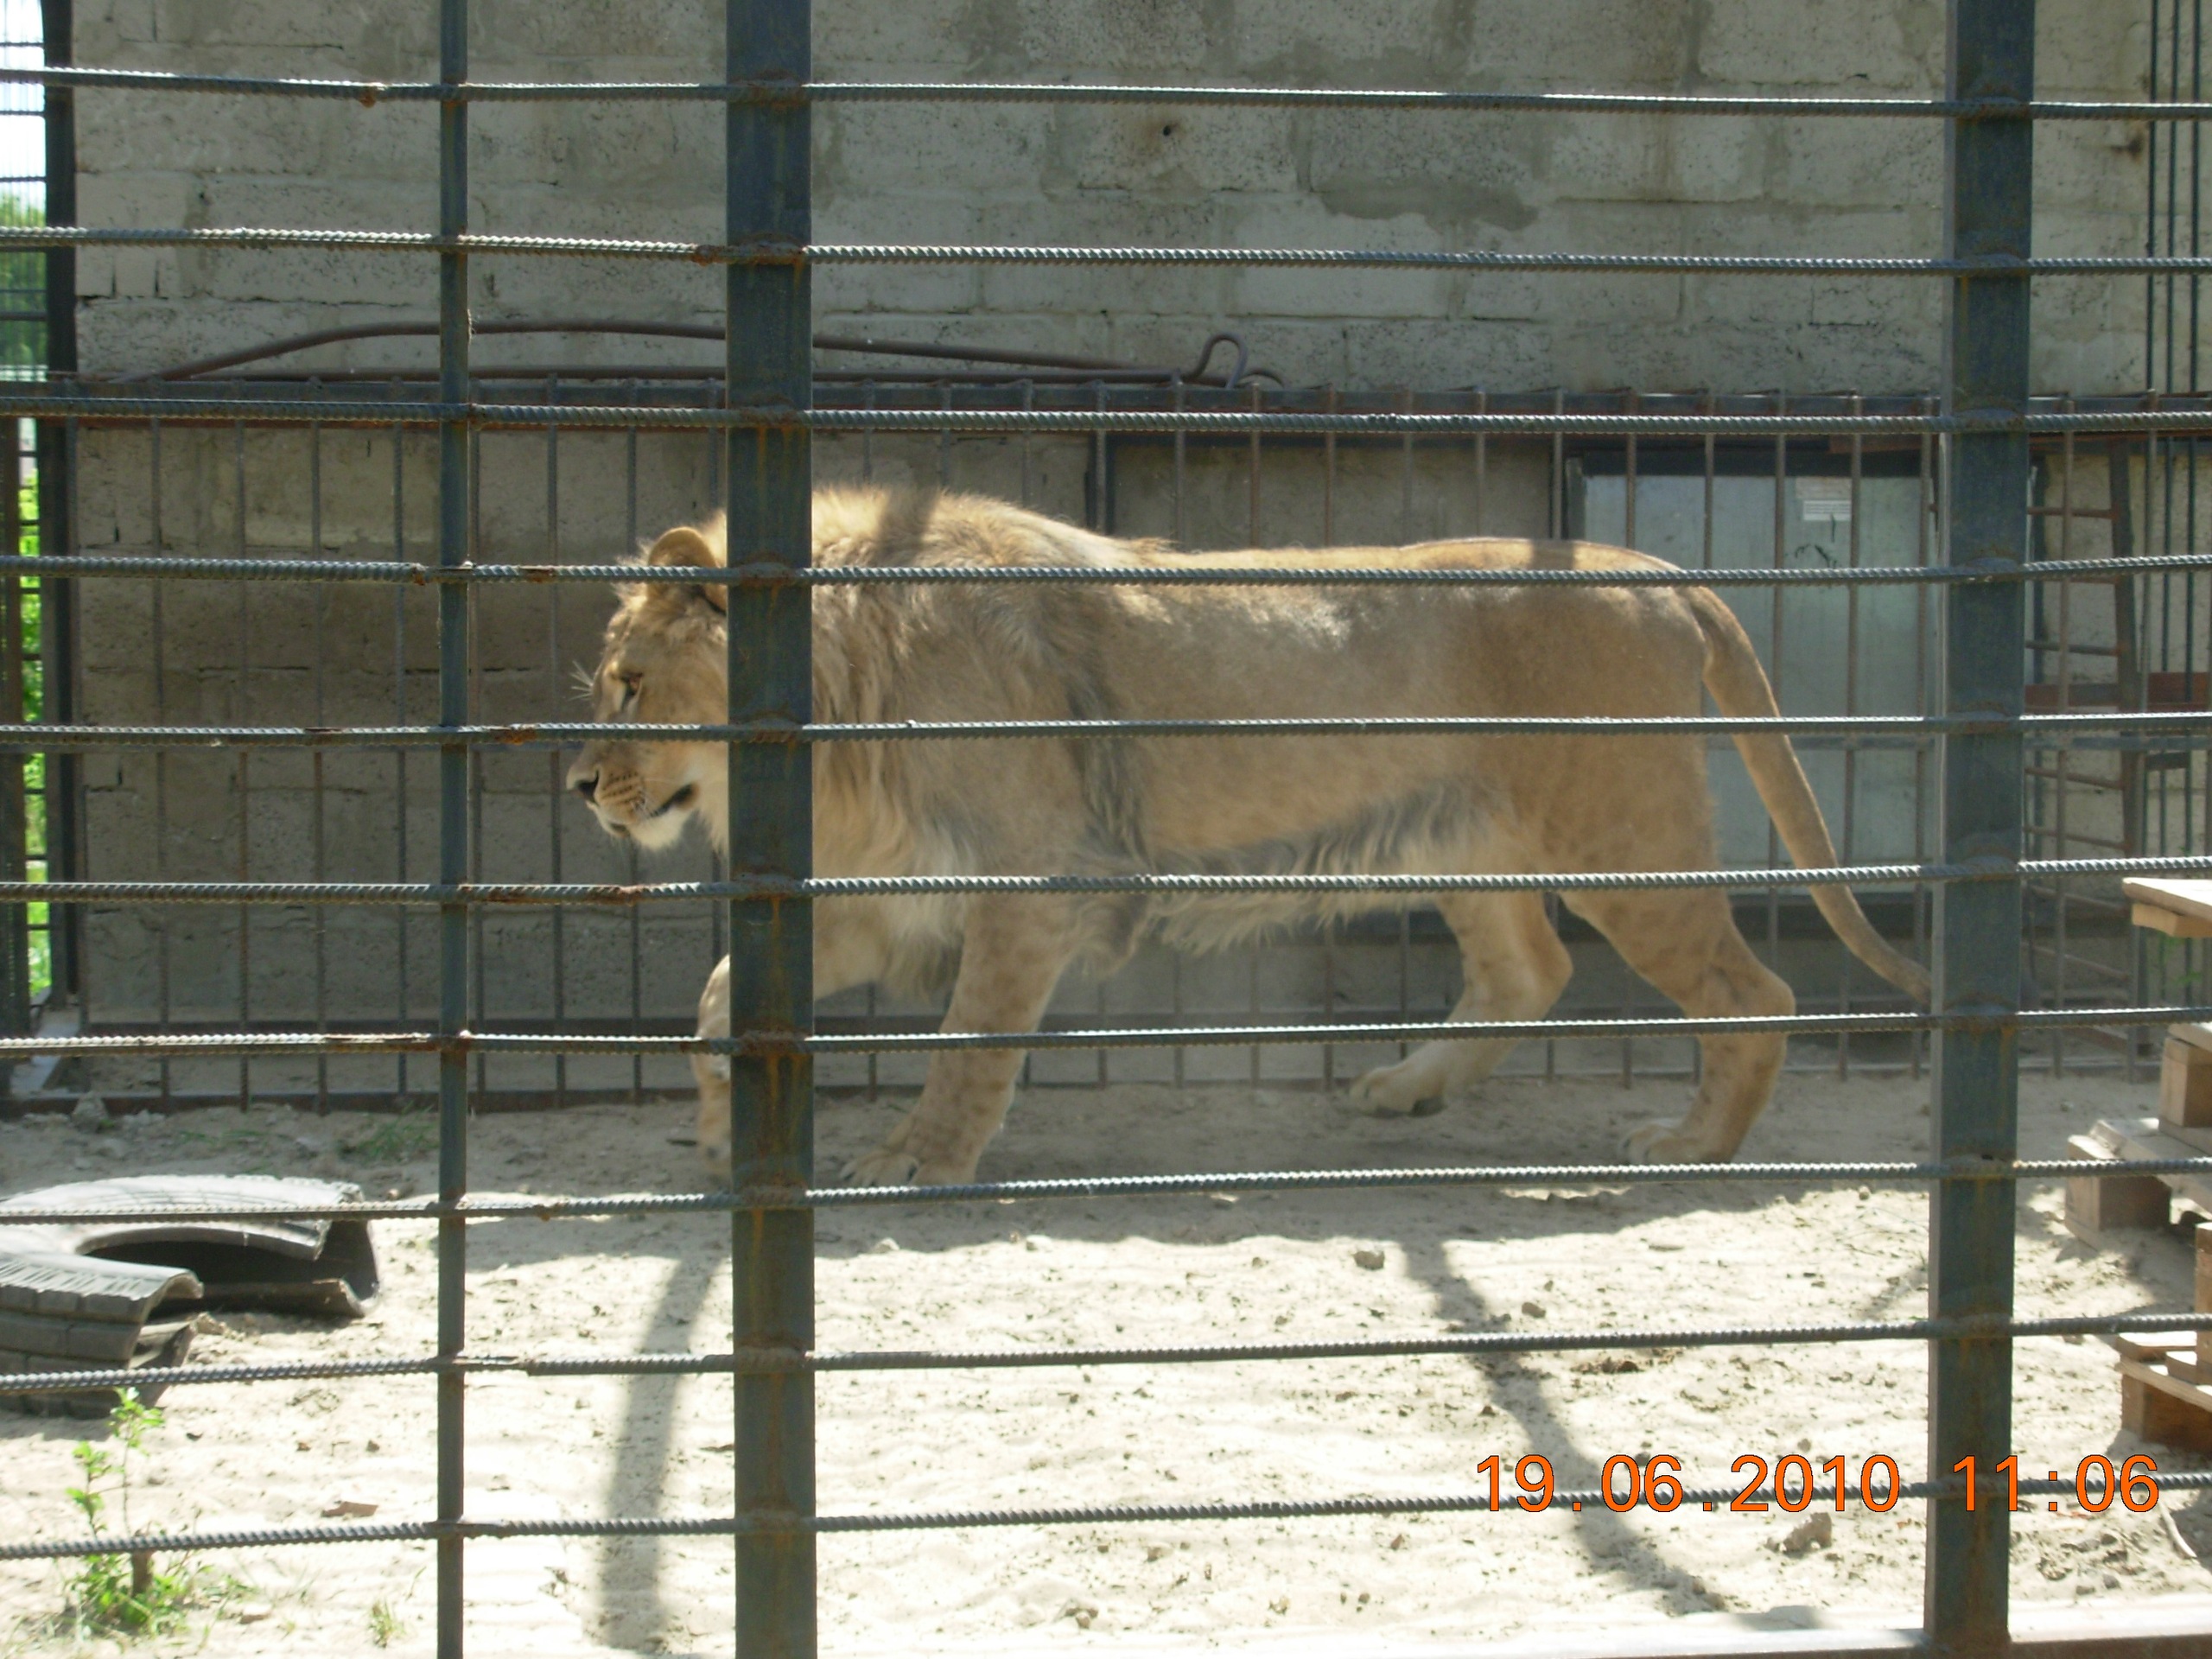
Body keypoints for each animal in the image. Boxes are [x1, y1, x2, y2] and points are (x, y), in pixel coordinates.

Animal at [567, 486, 1928, 1187]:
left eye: (630, 685)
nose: (580, 785)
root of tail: (1658, 566)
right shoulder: (880, 890)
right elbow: (717, 998)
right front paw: (718, 1130)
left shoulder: (1028, 883)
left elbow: (970, 1044)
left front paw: (915, 1161)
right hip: (1464, 840)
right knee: (1529, 970)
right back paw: (1405, 1089)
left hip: (1624, 843)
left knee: (1754, 991)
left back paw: (1696, 1144)